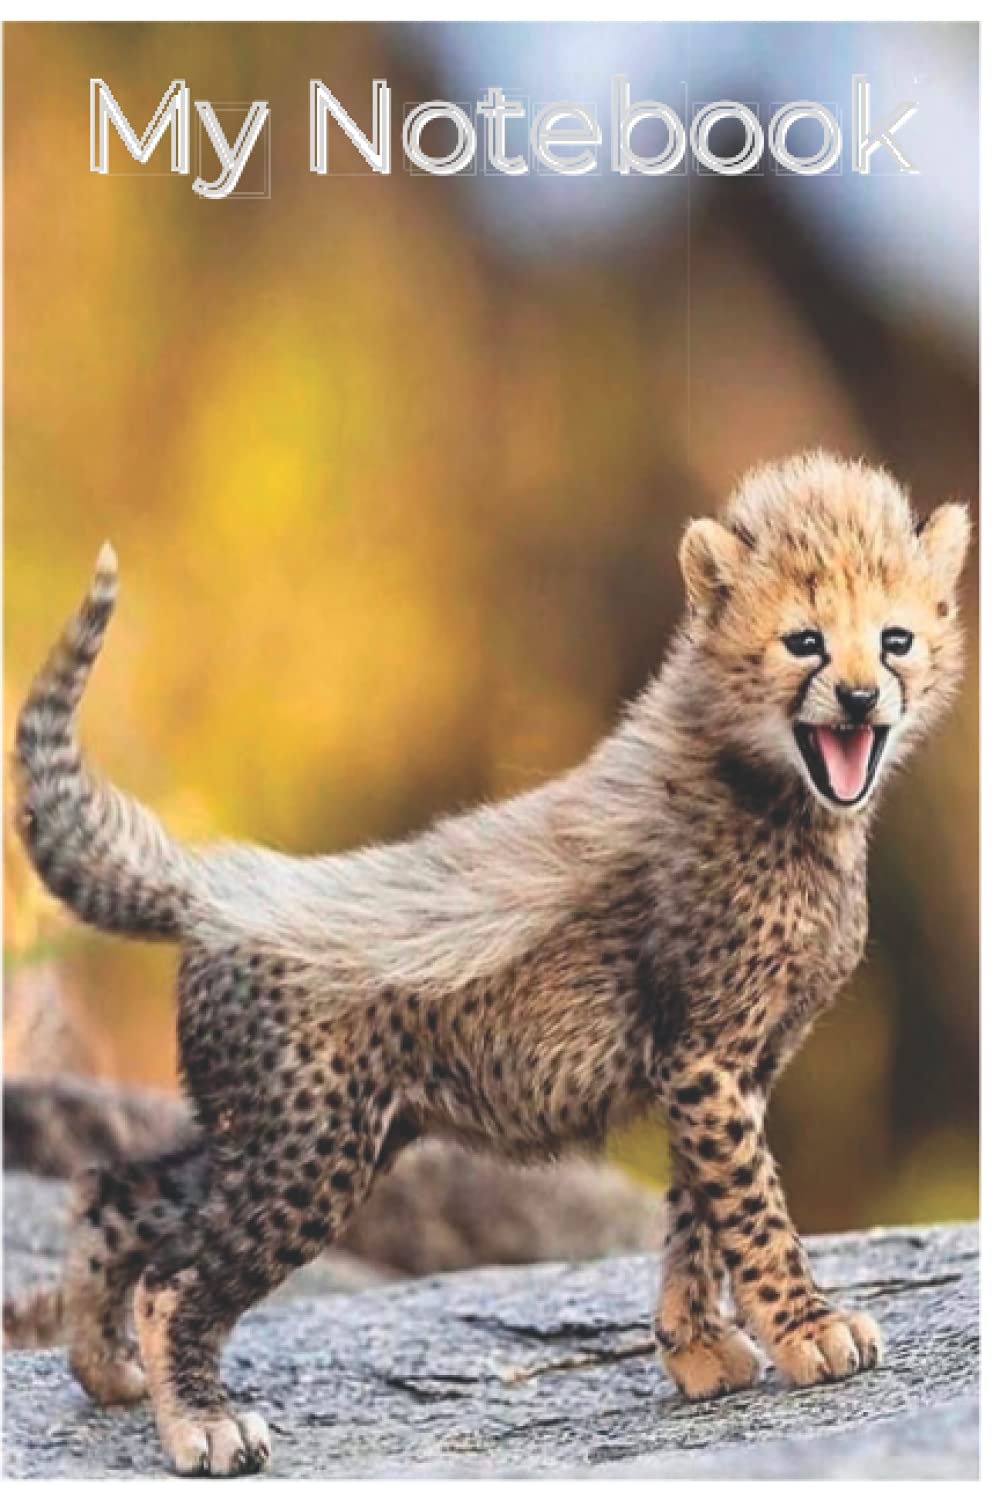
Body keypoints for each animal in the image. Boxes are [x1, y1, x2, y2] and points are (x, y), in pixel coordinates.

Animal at [10, 450, 969, 1475]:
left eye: (896, 640)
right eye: (804, 643)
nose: (862, 697)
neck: (775, 791)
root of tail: (214, 882)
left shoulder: (719, 1066)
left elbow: (695, 1214)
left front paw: (695, 1346)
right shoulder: (707, 1060)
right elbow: (748, 1209)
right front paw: (808, 1330)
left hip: (286, 1132)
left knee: (115, 1191)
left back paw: (105, 1369)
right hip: (311, 1148)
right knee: (174, 1275)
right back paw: (201, 1422)